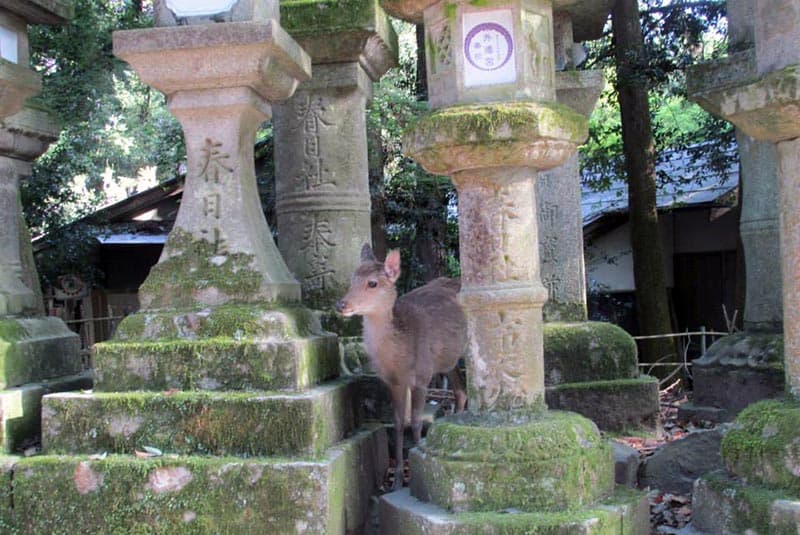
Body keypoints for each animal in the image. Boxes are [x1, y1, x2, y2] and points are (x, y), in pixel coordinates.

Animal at [335, 244, 467, 490]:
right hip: (447, 360)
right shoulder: (394, 381)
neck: (400, 359)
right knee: (460, 391)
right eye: (352, 278)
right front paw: (396, 479)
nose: (341, 305)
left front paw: (416, 469)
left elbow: (415, 421)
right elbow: (398, 423)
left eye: (372, 283)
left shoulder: (423, 374)